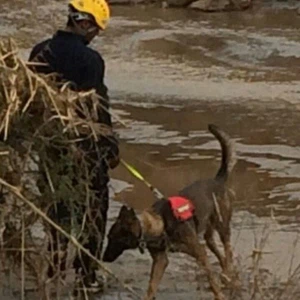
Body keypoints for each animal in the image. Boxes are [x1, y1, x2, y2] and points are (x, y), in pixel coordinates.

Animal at [103, 123, 237, 300]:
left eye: (113, 238)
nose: (103, 258)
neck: (158, 223)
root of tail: (218, 180)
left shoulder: (198, 252)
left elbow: (211, 278)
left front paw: (219, 295)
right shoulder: (161, 261)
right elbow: (151, 287)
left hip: (222, 227)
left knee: (228, 251)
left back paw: (229, 275)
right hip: (208, 234)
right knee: (218, 252)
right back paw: (226, 274)